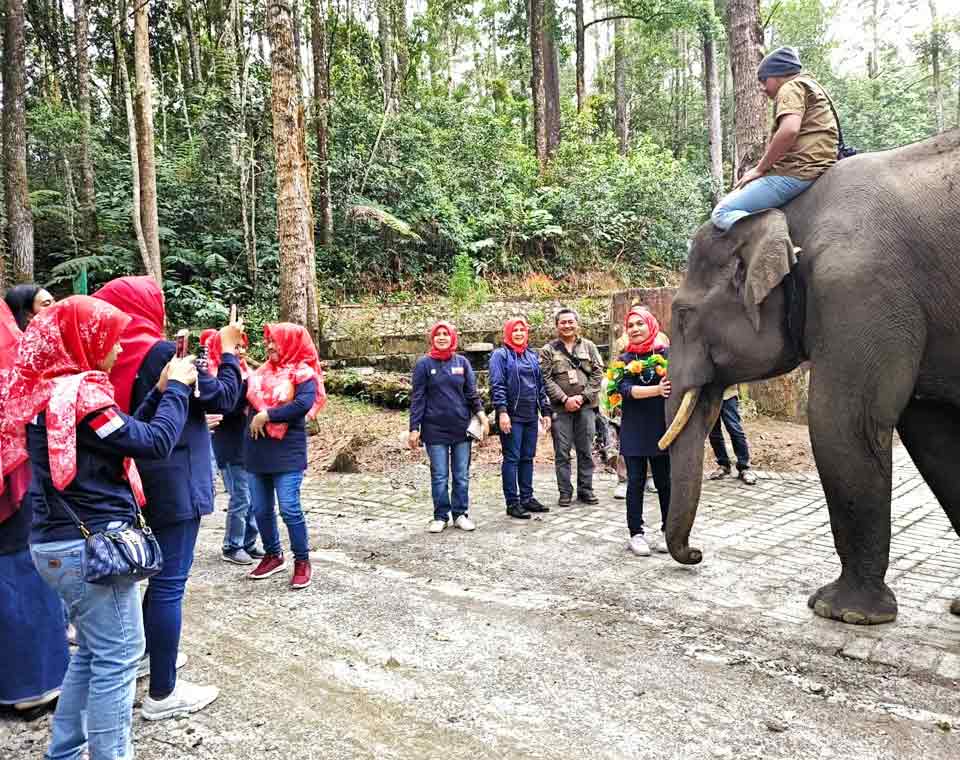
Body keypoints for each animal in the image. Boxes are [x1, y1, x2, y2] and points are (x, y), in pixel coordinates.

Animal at [659, 128, 960, 625]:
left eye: (682, 314)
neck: (796, 211)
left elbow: (843, 420)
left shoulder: (861, 289)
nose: (697, 554)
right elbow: (932, 431)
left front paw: (840, 611)